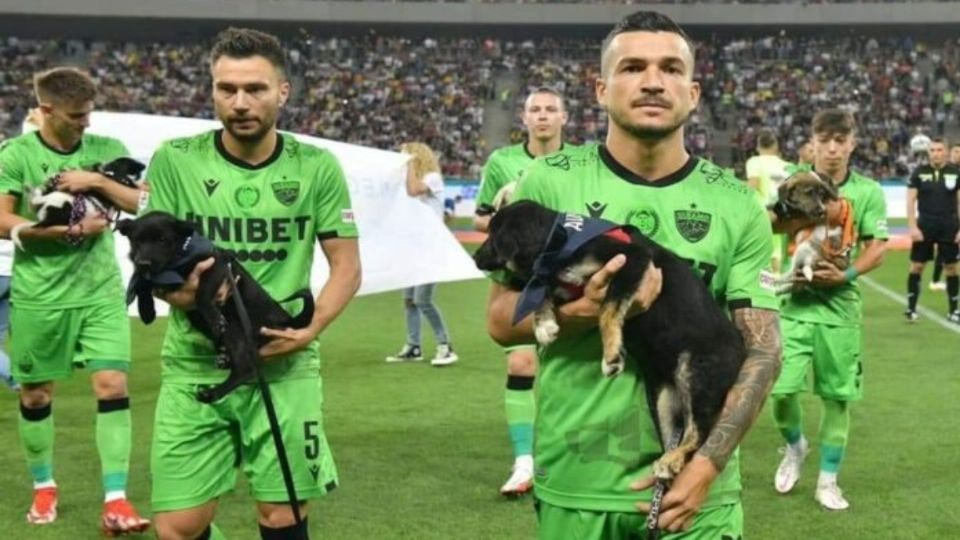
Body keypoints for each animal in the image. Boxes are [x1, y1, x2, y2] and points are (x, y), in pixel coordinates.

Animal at [118, 210, 316, 400]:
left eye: (162, 239)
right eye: (136, 241)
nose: (144, 263)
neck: (180, 256)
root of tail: (285, 319)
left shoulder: (215, 266)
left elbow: (201, 295)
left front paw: (214, 317)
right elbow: (141, 281)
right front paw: (146, 309)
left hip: (235, 330)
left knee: (246, 368)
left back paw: (212, 393)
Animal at [476, 200, 748, 478]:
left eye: (492, 235)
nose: (475, 257)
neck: (559, 244)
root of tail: (741, 346)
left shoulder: (631, 260)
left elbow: (607, 309)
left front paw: (612, 355)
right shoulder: (570, 287)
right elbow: (541, 293)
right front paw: (544, 325)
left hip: (697, 373)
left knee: (701, 432)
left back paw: (672, 460)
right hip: (662, 399)